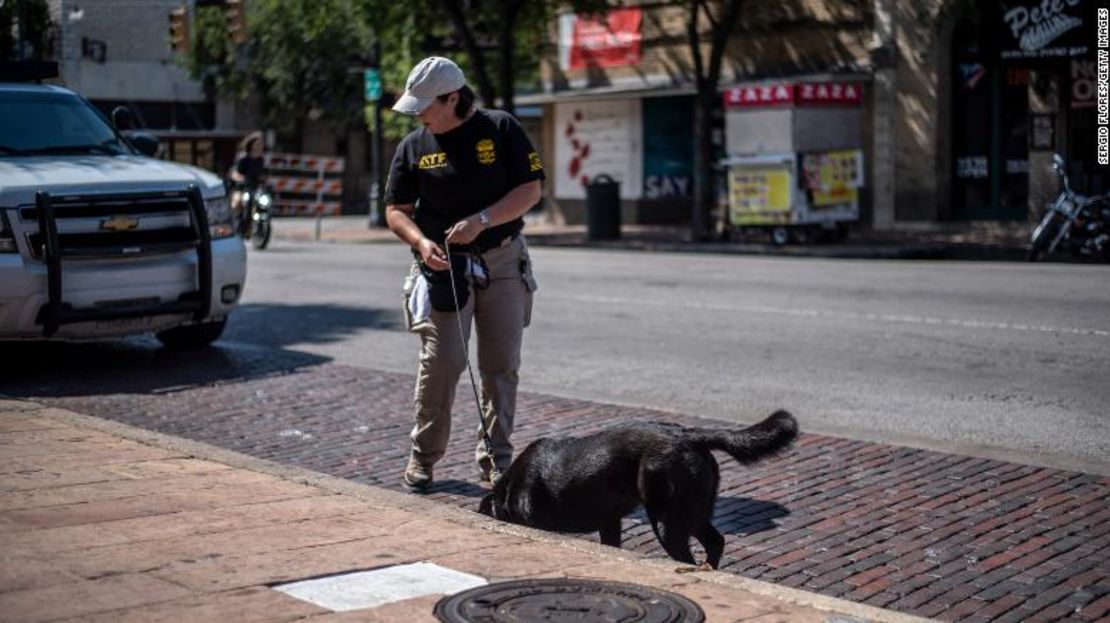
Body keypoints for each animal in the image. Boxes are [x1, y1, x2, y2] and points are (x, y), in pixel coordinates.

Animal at [477, 410, 799, 566]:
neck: (508, 488)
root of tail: (690, 435)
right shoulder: (610, 522)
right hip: (693, 511)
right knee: (716, 541)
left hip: (668, 520)